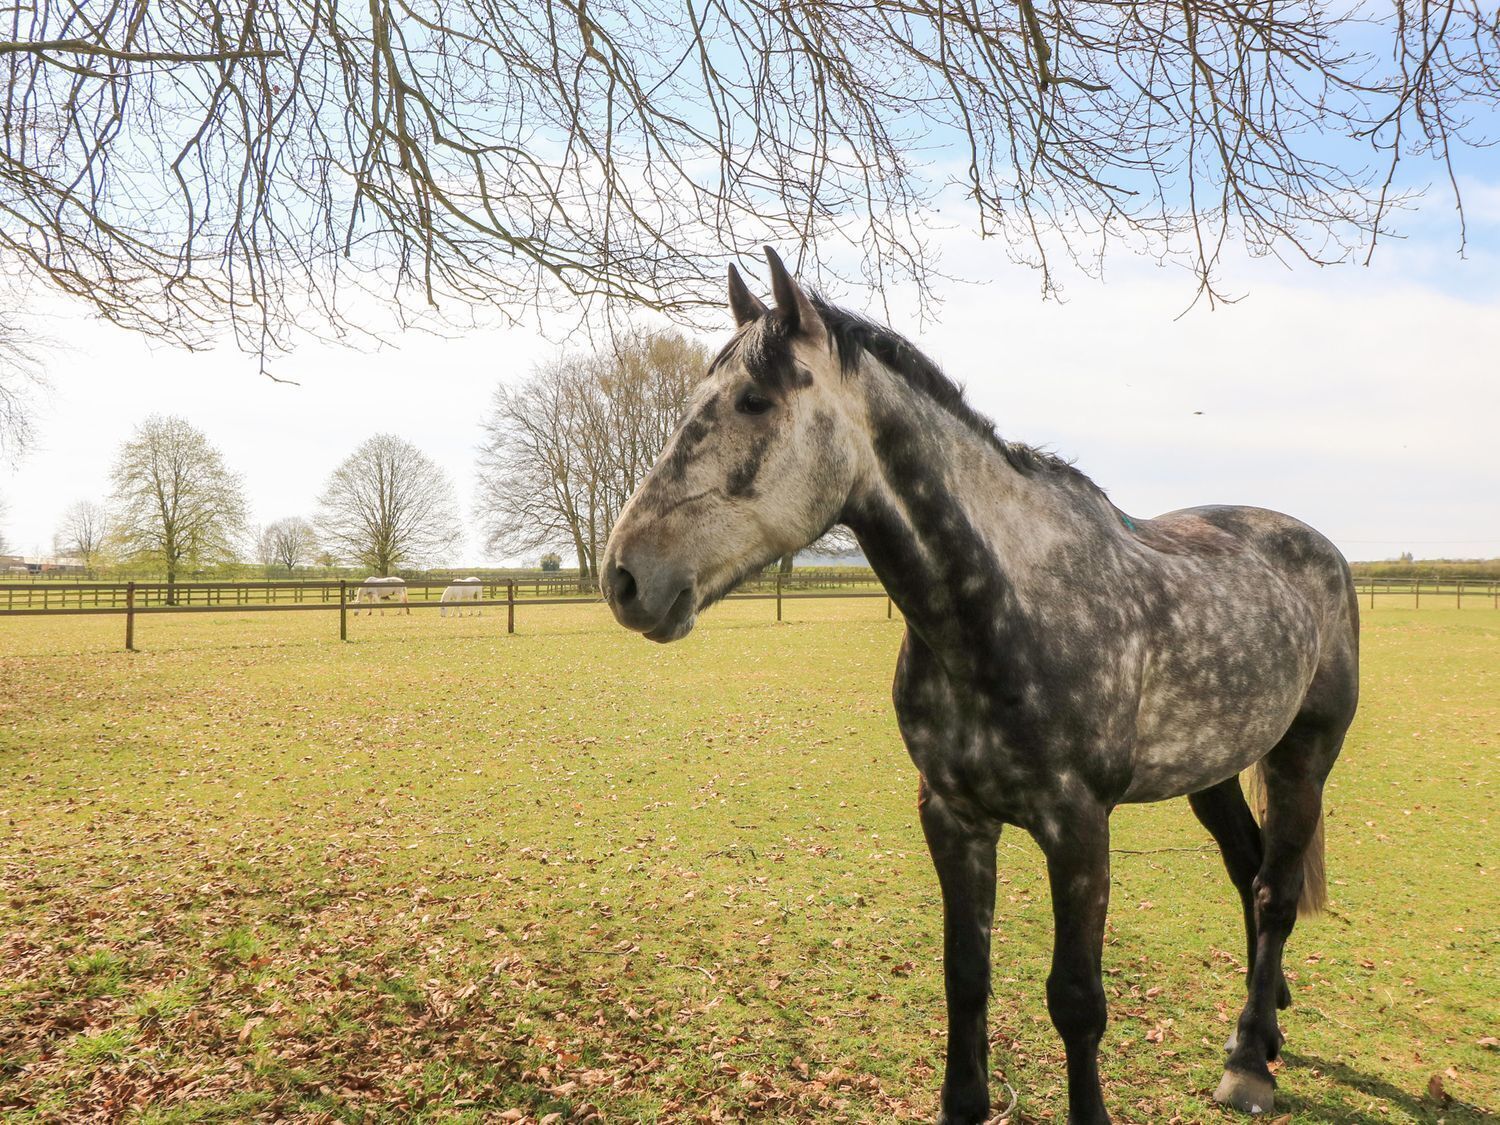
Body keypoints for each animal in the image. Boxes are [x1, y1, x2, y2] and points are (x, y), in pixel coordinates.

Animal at [600, 248, 1359, 1124]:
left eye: (754, 400)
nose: (624, 576)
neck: (1002, 605)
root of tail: (1319, 549)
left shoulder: (1078, 826)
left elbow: (1076, 1000)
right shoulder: (953, 814)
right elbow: (965, 976)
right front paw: (963, 1100)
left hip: (1305, 754)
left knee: (1275, 890)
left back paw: (1248, 1066)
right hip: (1215, 767)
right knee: (1249, 868)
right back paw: (1264, 1028)